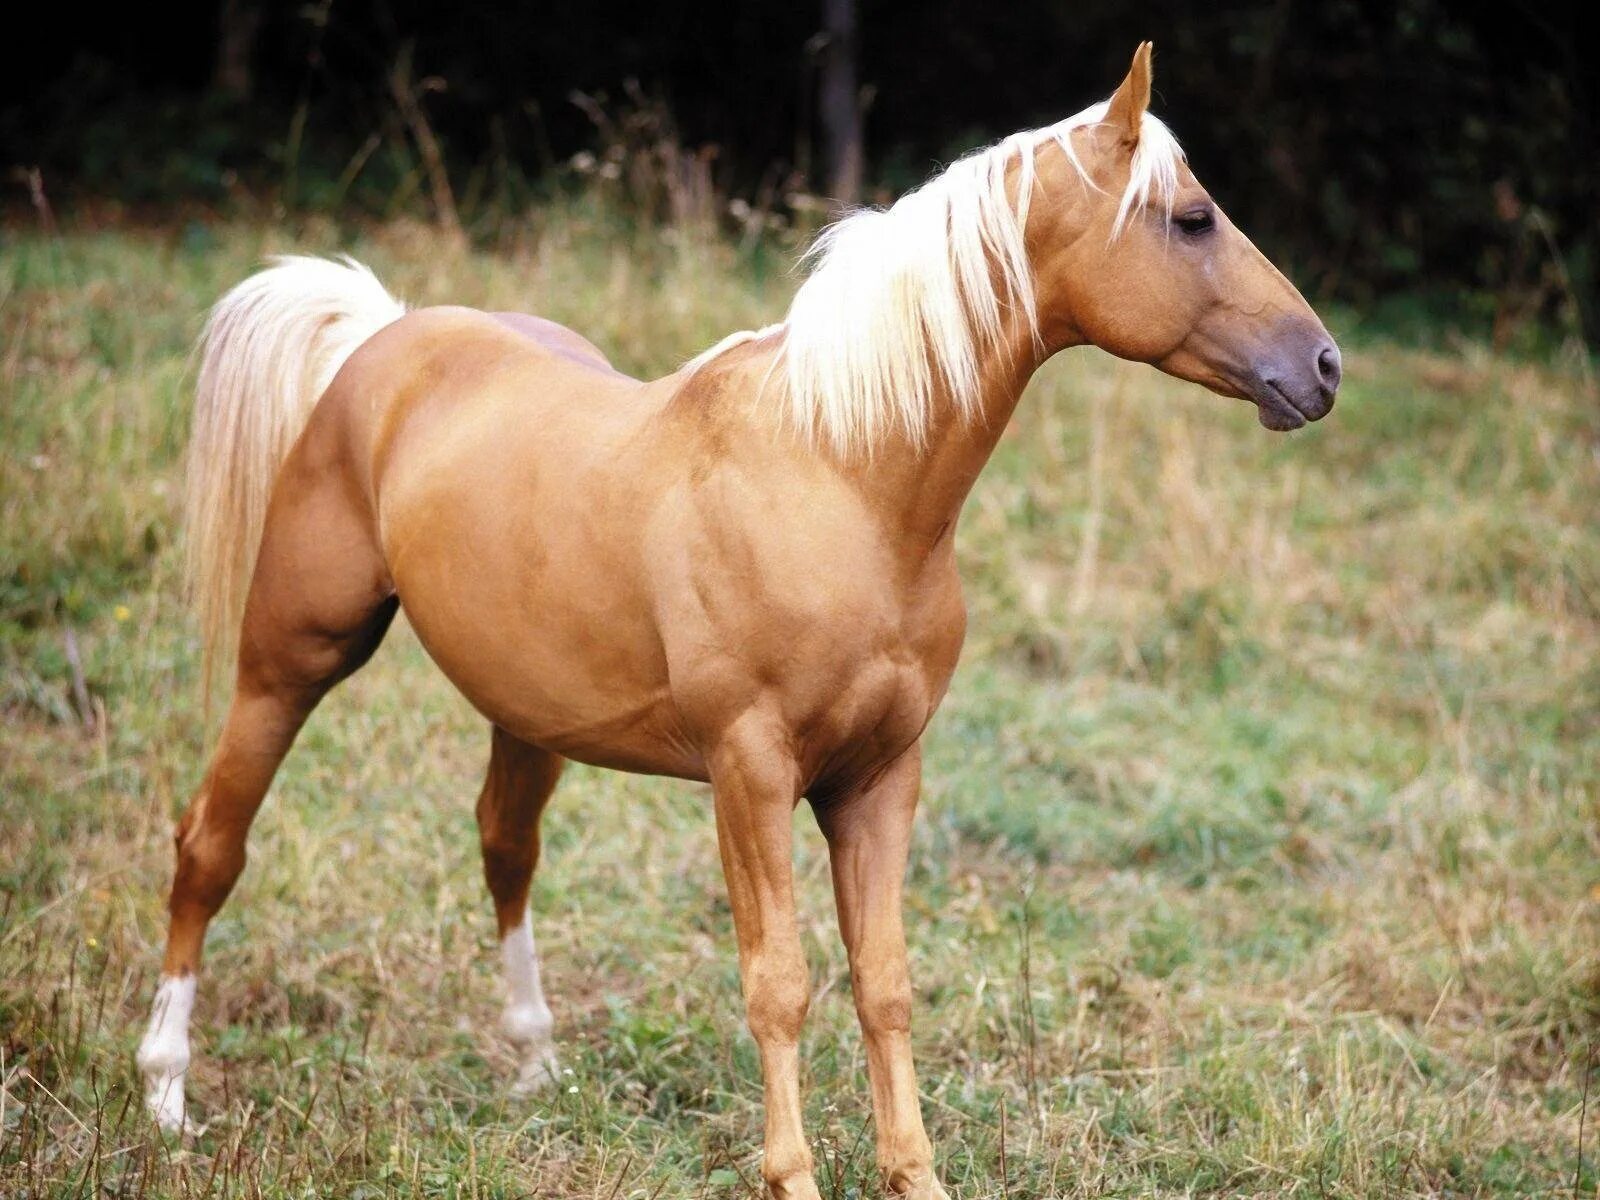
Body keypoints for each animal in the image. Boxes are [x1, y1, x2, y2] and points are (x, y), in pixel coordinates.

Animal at [137, 42, 1337, 1196]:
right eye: (1192, 217)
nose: (1322, 366)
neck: (840, 475)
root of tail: (381, 342)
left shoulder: (879, 777)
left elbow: (884, 983)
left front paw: (913, 1176)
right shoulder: (749, 772)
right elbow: (780, 983)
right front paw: (791, 1177)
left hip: (526, 715)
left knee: (504, 849)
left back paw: (533, 1064)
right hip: (287, 663)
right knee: (211, 846)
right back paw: (165, 1093)